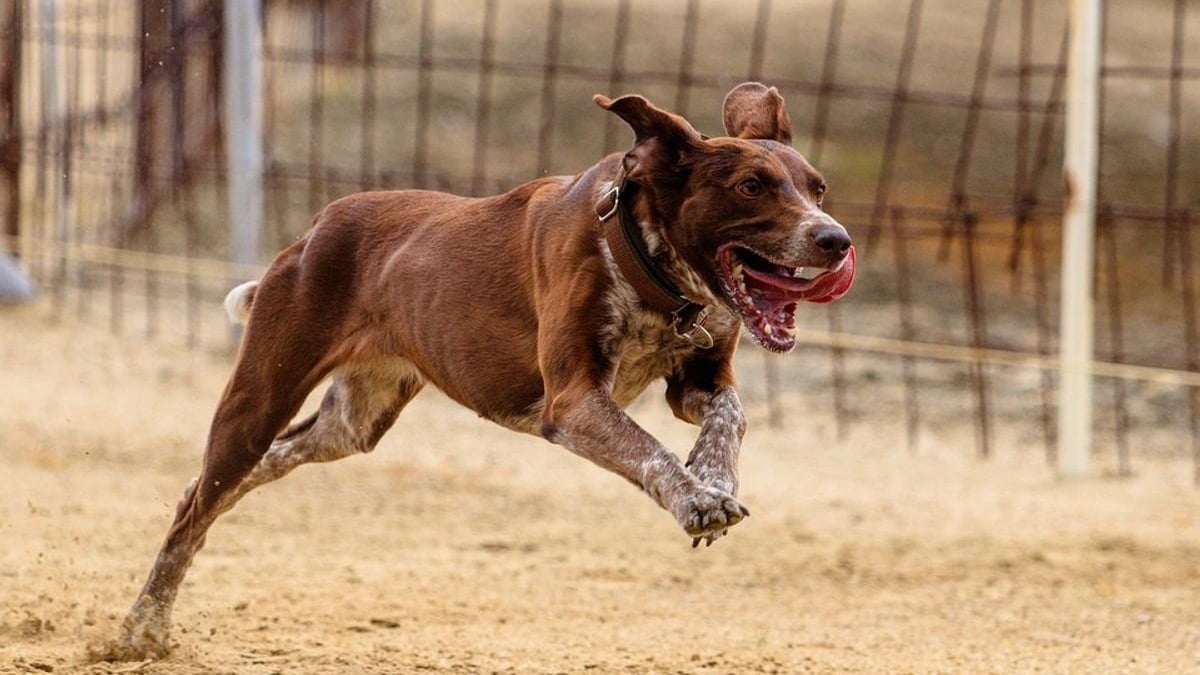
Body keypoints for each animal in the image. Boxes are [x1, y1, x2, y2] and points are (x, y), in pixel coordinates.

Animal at [103, 81, 854, 653]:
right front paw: (695, 498)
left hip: (352, 423)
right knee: (196, 508)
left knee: (244, 474)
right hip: (260, 396)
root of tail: (314, 229)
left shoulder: (698, 379)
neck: (647, 261)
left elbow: (730, 415)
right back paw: (141, 629)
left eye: (818, 188)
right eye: (752, 185)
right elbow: (651, 451)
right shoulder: (573, 401)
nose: (836, 239)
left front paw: (714, 475)